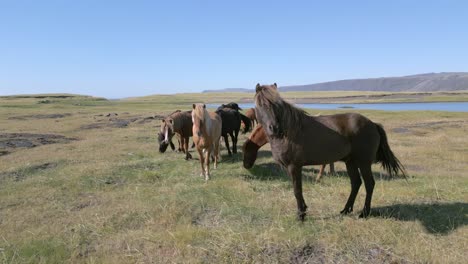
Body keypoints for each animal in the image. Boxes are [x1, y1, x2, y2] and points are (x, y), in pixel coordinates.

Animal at [254, 83, 404, 220]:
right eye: (260, 104)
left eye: (277, 105)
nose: (274, 128)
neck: (289, 132)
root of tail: (373, 124)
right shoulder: (290, 168)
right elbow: (297, 190)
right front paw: (303, 210)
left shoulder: (294, 166)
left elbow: (297, 190)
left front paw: (301, 215)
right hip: (350, 162)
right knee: (356, 183)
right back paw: (346, 210)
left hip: (363, 163)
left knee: (369, 184)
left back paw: (364, 213)